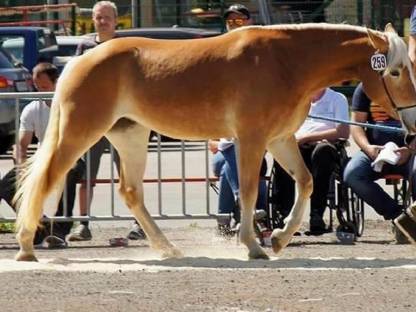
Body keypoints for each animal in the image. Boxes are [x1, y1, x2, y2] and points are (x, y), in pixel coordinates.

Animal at [13, 23, 416, 260]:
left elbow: (305, 182)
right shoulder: (251, 139)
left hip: (131, 135)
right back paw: (27, 246)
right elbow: (250, 191)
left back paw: (167, 248)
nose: (410, 125)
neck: (286, 62)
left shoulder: (280, 138)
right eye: (395, 71)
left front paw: (279, 238)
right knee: (46, 180)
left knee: (130, 192)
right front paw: (253, 245)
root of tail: (80, 60)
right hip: (80, 132)